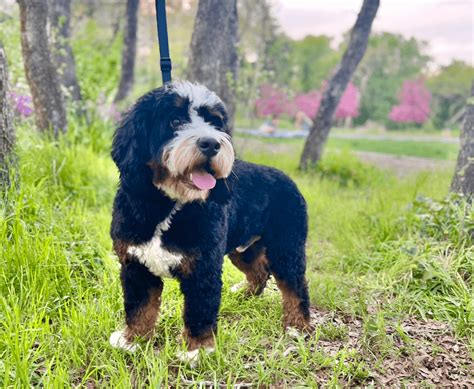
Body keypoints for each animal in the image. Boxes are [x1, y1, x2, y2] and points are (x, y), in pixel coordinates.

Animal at [109, 80, 312, 360]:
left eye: (214, 122)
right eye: (174, 121)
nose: (211, 143)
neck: (169, 205)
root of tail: (288, 179)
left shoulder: (203, 269)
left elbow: (199, 311)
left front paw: (196, 350)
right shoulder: (136, 265)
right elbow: (139, 307)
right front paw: (133, 340)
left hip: (286, 246)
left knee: (295, 285)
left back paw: (297, 326)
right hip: (244, 248)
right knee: (260, 272)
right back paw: (244, 295)